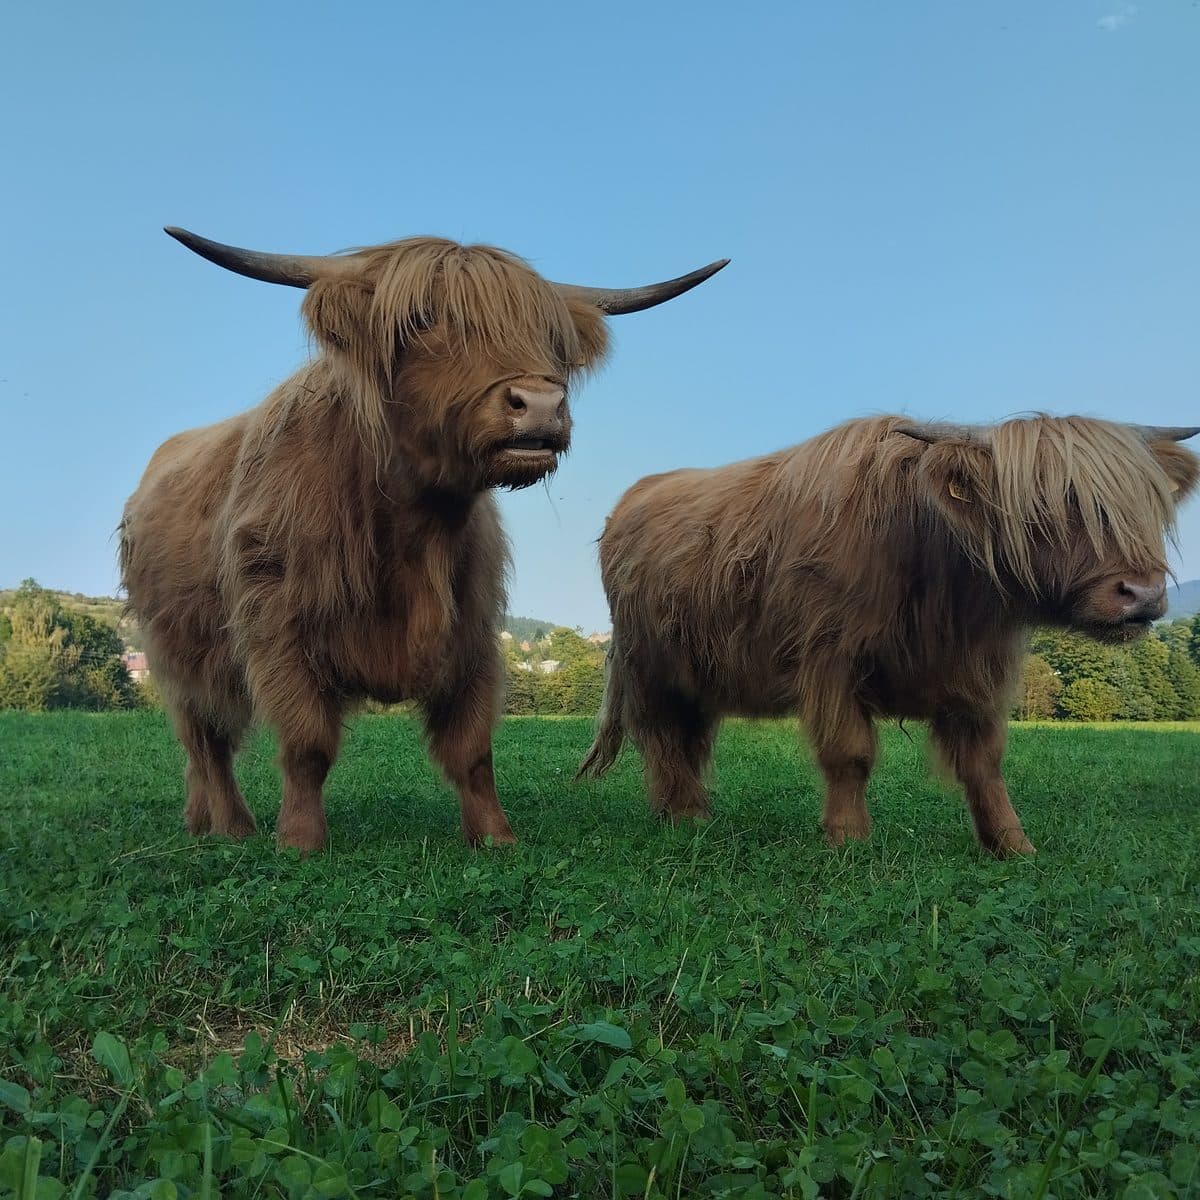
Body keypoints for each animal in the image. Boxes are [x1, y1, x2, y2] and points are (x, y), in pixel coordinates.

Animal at [120, 227, 727, 852]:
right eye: (422, 321)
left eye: (547, 333)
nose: (540, 405)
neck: (411, 525)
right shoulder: (279, 627)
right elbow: (307, 743)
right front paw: (301, 842)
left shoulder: (472, 632)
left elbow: (472, 750)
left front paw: (496, 838)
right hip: (182, 656)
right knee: (207, 741)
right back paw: (233, 827)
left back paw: (199, 821)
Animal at [578, 415, 1199, 857]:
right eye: (1044, 503)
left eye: (1144, 505)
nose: (1142, 593)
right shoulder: (830, 658)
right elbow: (850, 752)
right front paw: (848, 838)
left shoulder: (978, 669)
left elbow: (985, 762)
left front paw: (1012, 845)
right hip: (648, 665)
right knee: (660, 736)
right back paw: (681, 815)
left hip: (698, 673)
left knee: (690, 738)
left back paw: (692, 809)